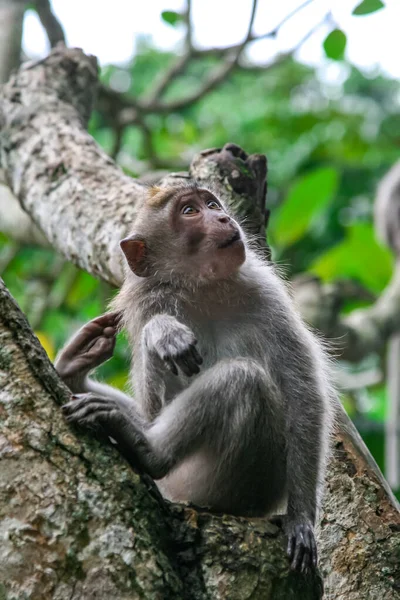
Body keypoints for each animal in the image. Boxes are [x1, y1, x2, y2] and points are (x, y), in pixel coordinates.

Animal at [56, 183, 336, 572]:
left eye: (213, 204)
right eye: (190, 211)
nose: (224, 217)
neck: (202, 287)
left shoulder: (266, 293)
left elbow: (302, 393)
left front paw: (300, 520)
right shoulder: (149, 301)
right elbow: (153, 410)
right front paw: (163, 332)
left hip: (216, 484)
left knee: (242, 377)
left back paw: (148, 452)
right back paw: (76, 373)